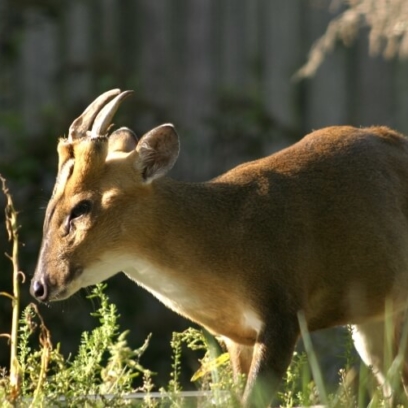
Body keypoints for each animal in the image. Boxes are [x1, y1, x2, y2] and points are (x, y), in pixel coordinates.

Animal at [31, 88, 408, 404]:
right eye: (48, 206)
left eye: (82, 207)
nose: (39, 285)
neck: (227, 243)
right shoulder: (238, 337)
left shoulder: (283, 311)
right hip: (372, 318)